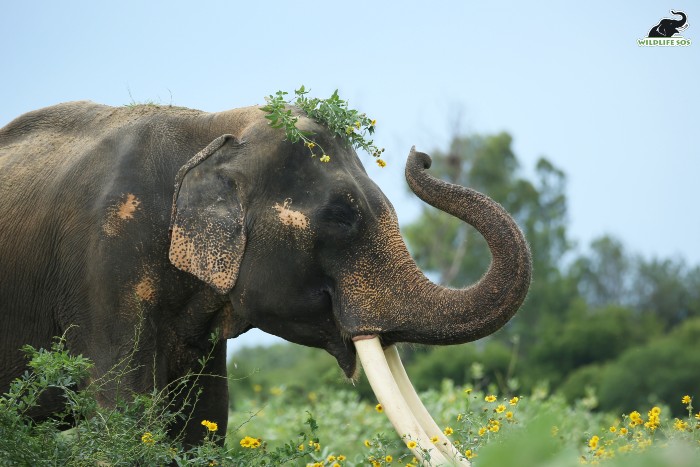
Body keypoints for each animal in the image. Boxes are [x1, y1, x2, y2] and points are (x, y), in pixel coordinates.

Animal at [0, 101, 532, 464]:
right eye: (342, 215)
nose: (422, 157)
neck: (212, 129)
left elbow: (203, 423)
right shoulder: (106, 265)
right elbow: (124, 414)